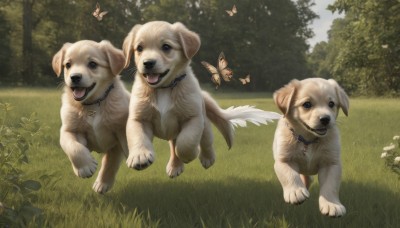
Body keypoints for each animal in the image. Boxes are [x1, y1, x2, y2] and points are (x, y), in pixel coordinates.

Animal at [122, 21, 282, 177]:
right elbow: (137, 136)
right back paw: (175, 166)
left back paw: (207, 158)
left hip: (205, 127)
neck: (164, 88)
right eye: (139, 48)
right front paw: (139, 156)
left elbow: (186, 142)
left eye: (166, 47)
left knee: (205, 142)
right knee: (173, 144)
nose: (148, 63)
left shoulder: (194, 118)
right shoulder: (138, 118)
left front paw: (189, 155)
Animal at [274, 78, 348, 217]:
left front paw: (331, 204)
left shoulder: (331, 163)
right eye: (307, 104)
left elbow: (331, 185)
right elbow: (289, 174)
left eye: (331, 104)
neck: (308, 140)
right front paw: (296, 192)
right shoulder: (283, 160)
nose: (325, 119)